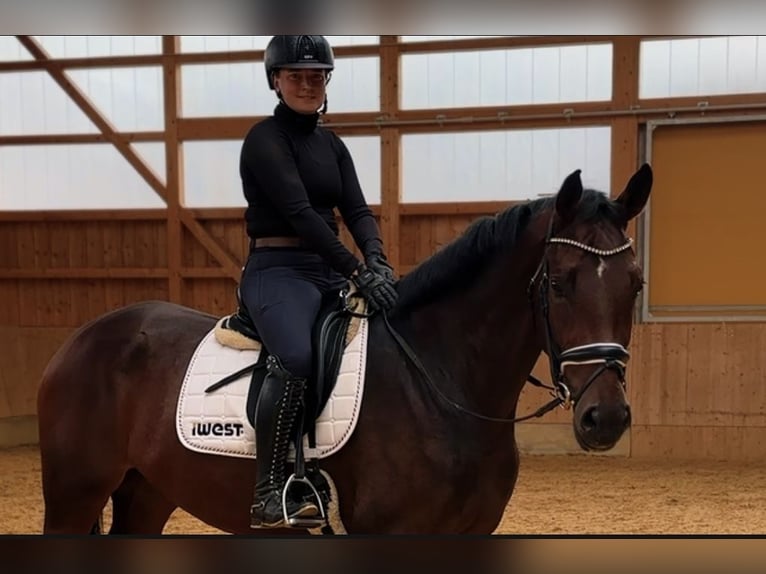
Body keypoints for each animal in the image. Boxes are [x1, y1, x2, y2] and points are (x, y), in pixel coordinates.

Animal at [36, 164, 656, 536]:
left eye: (635, 284)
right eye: (560, 284)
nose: (605, 418)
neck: (440, 383)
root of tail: (82, 339)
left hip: (148, 492)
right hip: (74, 494)